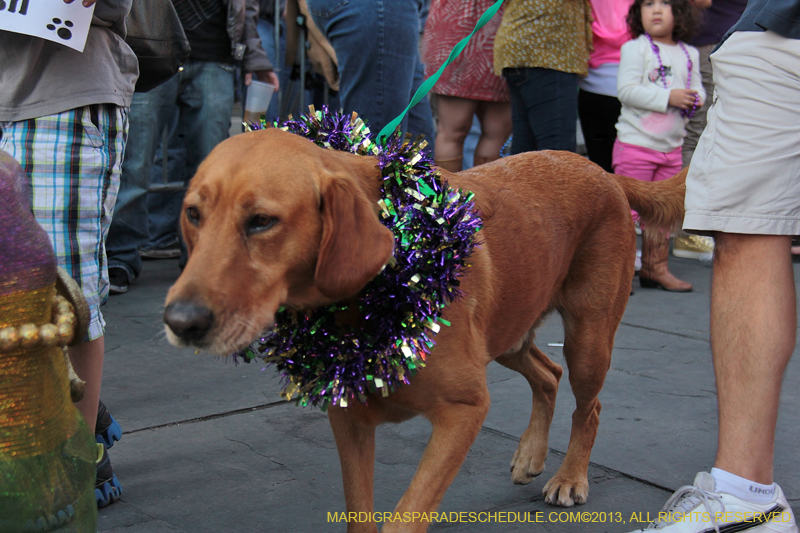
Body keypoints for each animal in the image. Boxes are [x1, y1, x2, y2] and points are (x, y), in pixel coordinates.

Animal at [164, 127, 688, 528]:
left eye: (261, 221)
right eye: (193, 213)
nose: (180, 321)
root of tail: (603, 171)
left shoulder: (464, 411)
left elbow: (407, 515)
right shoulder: (350, 421)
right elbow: (361, 514)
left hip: (588, 338)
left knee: (589, 405)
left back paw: (570, 477)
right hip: (508, 331)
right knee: (547, 374)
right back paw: (530, 456)